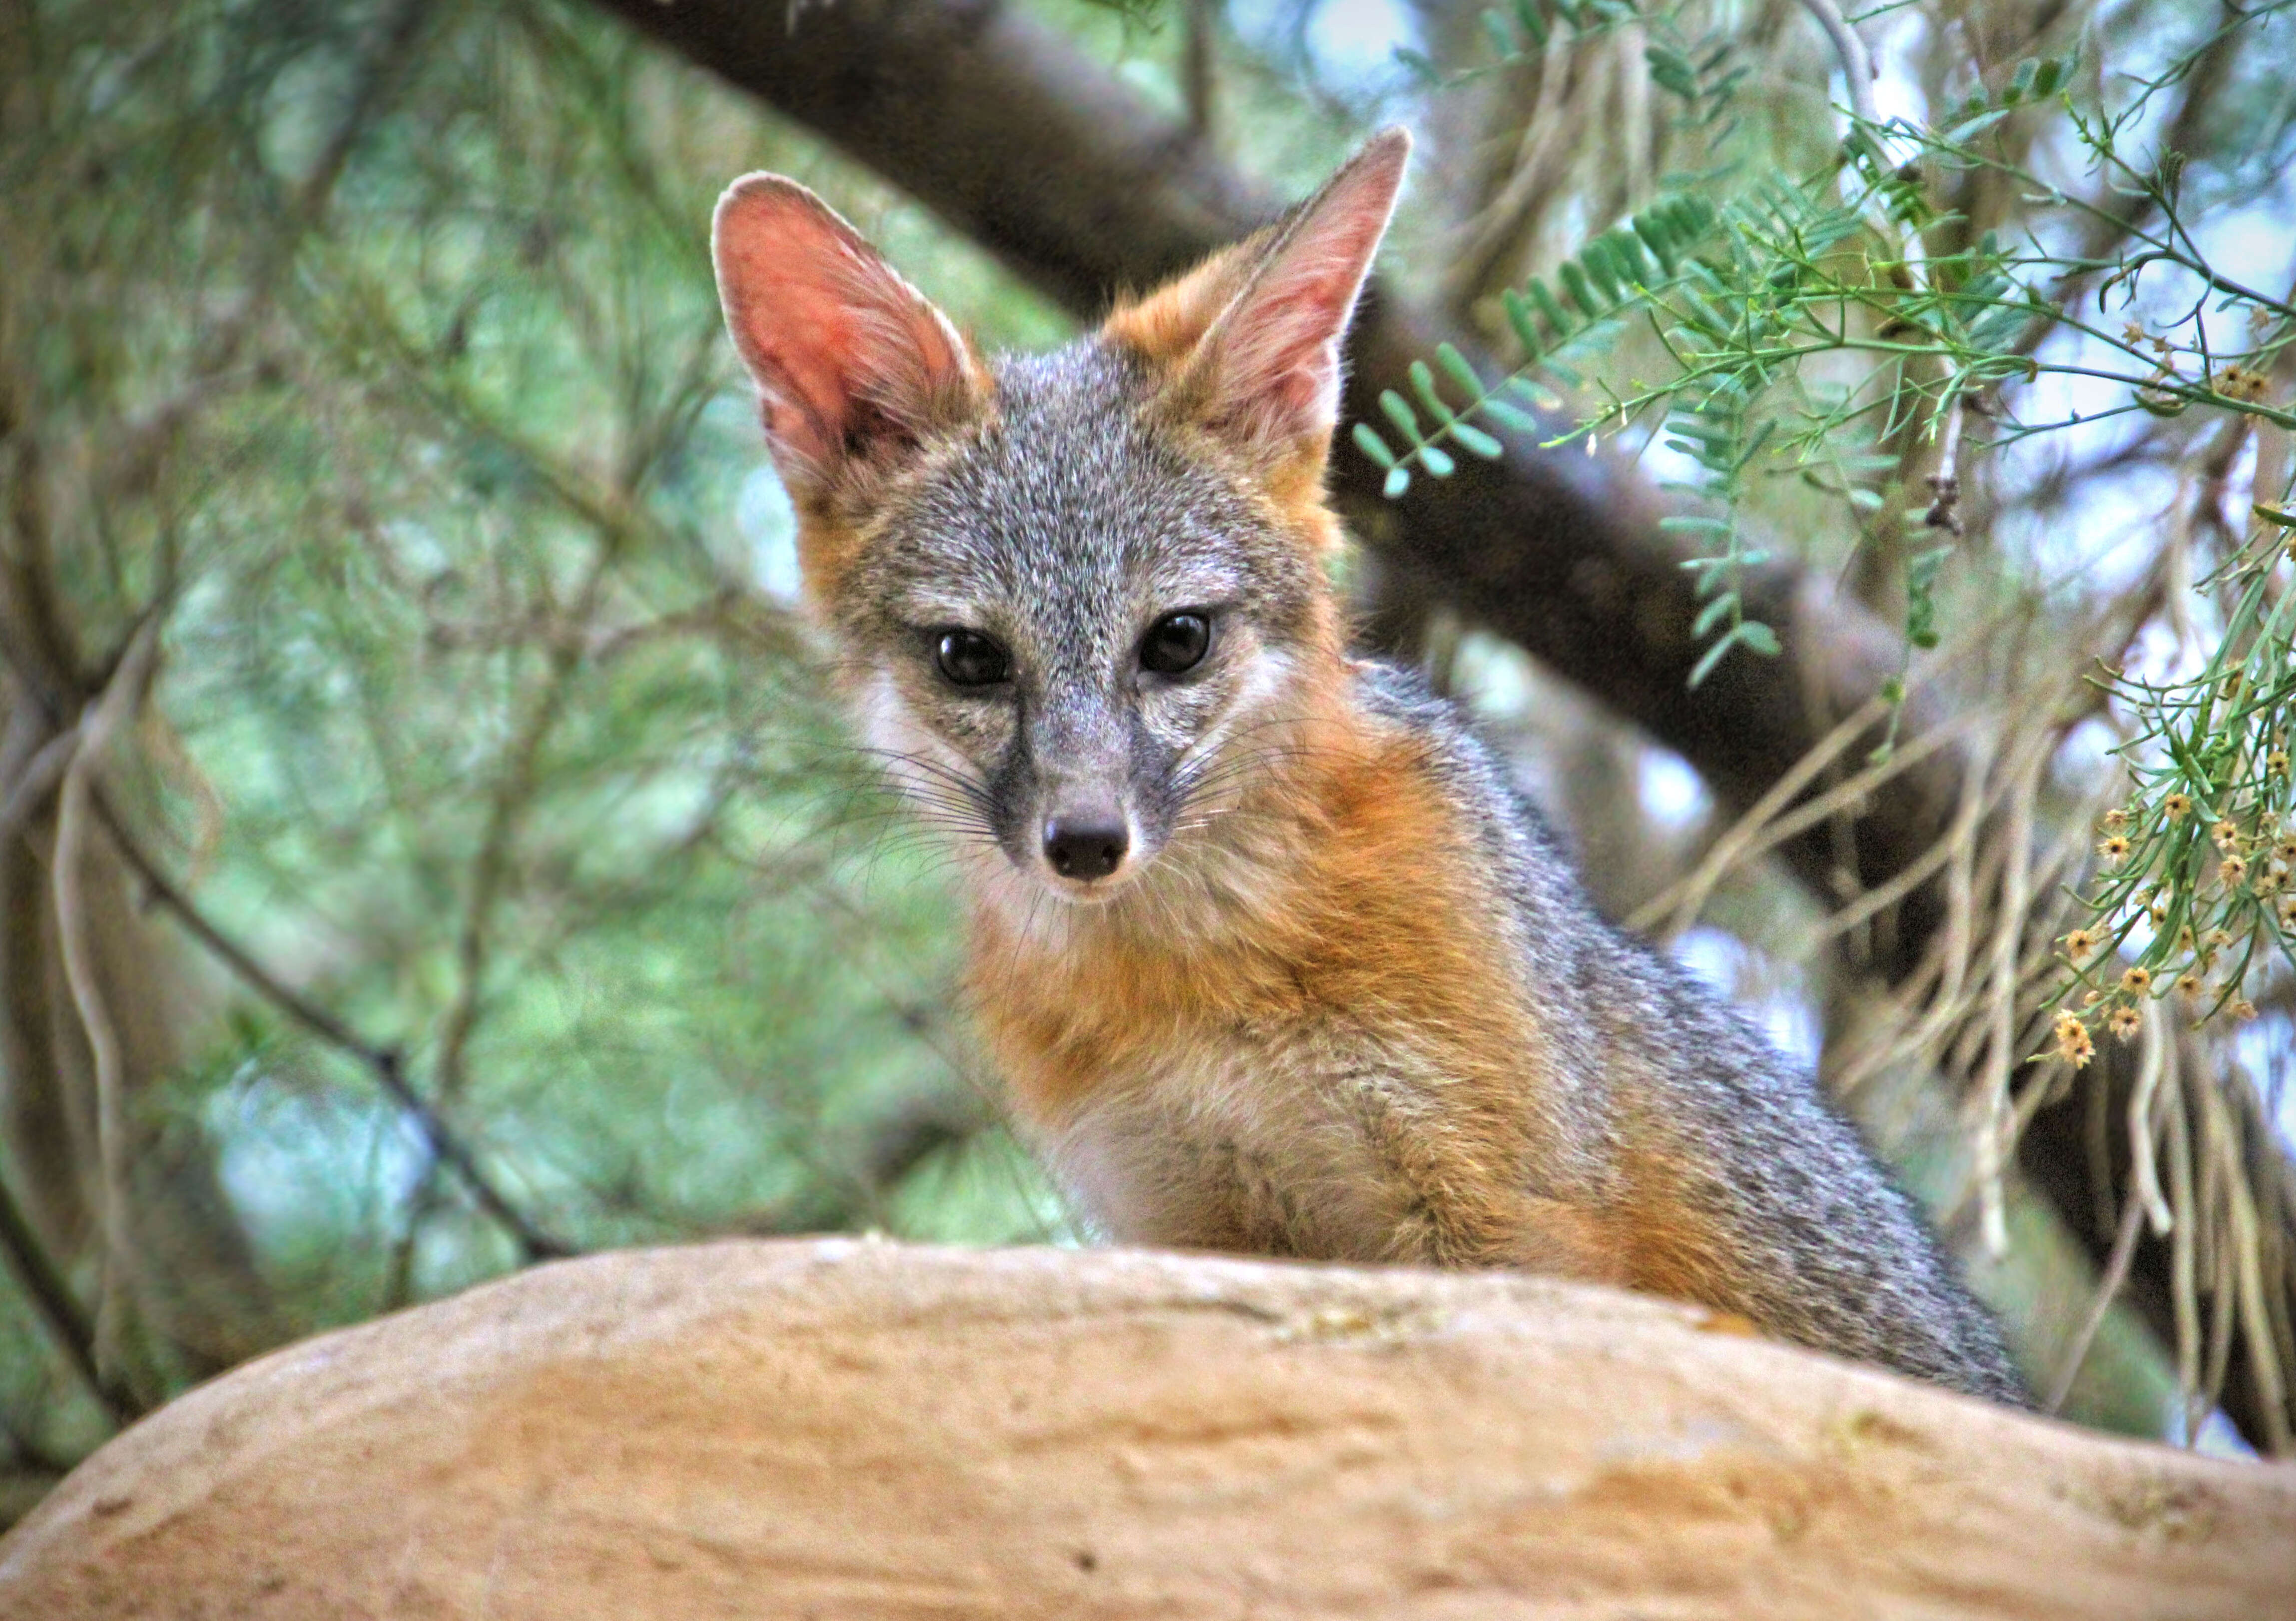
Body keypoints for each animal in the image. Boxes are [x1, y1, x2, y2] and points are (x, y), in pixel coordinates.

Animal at [711, 129, 2029, 1405]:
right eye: (970, 658)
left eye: (1176, 640)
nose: (1084, 843)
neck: (1198, 989)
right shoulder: (1186, 1224)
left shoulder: (1500, 1223)